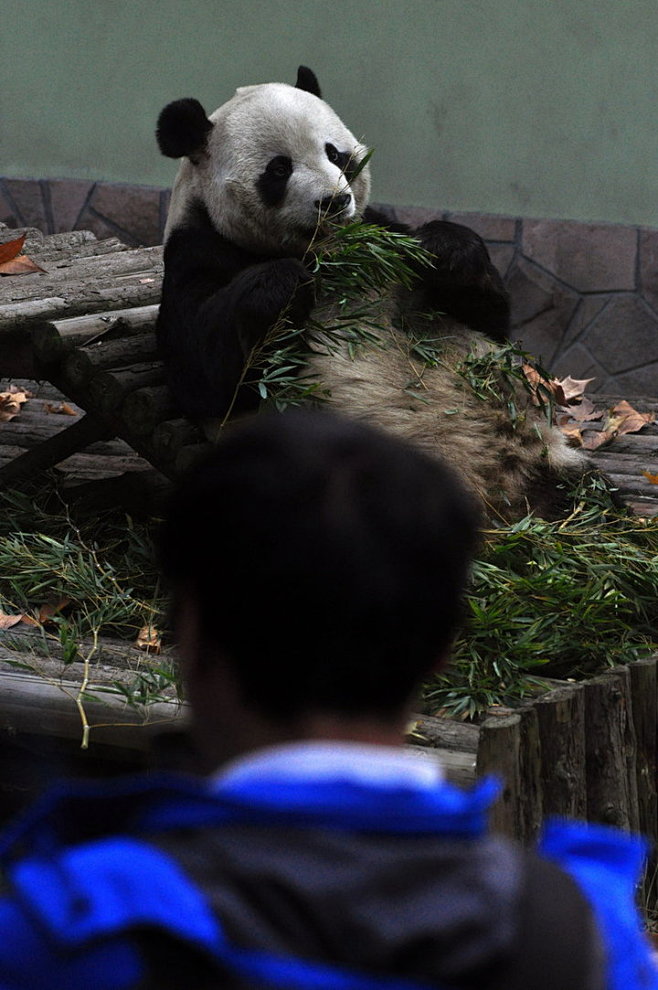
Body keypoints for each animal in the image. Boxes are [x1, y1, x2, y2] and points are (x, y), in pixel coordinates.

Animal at [156, 66, 592, 524]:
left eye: (335, 154)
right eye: (278, 169)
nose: (334, 201)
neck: (326, 254)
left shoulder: (381, 231)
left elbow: (492, 323)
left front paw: (443, 247)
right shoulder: (198, 248)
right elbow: (201, 369)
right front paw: (284, 283)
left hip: (547, 458)